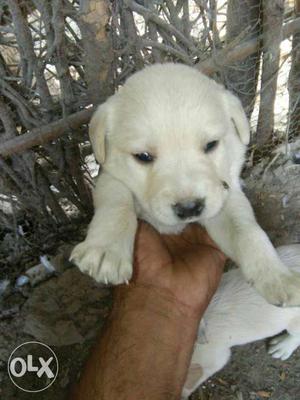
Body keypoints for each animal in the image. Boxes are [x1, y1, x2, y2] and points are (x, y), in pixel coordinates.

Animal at [71, 62, 300, 306]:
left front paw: (277, 275)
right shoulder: (110, 174)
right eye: (143, 156)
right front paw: (106, 250)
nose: (189, 208)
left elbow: (247, 230)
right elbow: (117, 203)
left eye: (211, 144)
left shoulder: (226, 194)